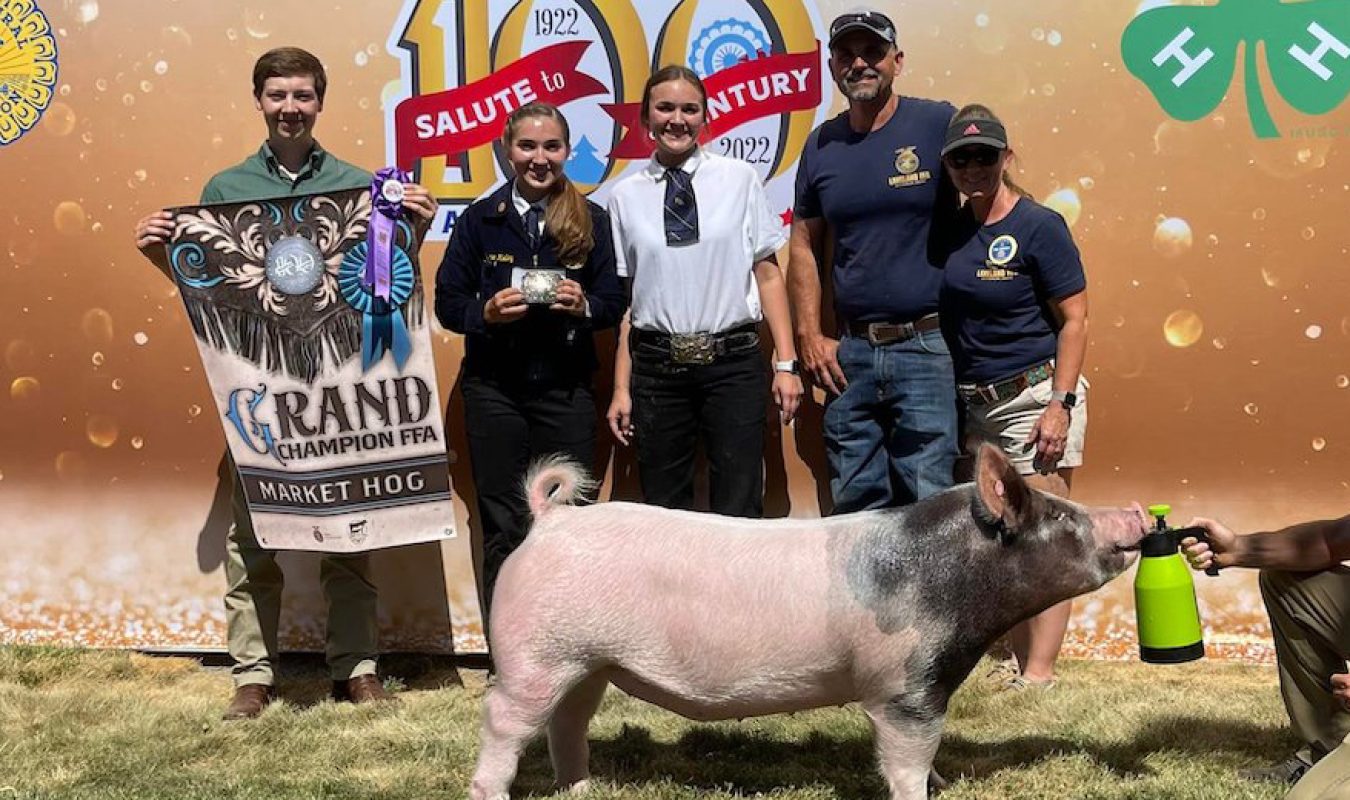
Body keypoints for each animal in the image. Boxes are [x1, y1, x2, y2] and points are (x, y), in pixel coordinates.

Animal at [467, 442, 1150, 798]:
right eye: (1059, 517)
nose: (1139, 513)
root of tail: (550, 522)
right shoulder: (903, 686)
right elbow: (907, 759)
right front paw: (921, 790)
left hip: (587, 662)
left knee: (566, 724)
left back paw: (584, 792)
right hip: (535, 653)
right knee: (505, 721)